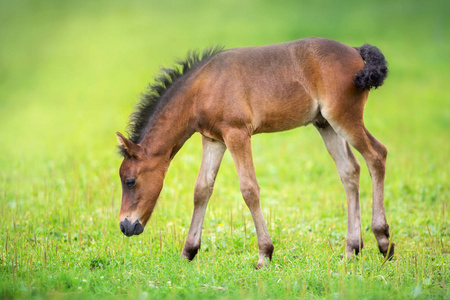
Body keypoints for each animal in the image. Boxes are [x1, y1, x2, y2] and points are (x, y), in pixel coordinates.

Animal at [116, 36, 394, 268]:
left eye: (130, 181)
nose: (125, 226)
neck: (202, 87)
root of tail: (356, 50)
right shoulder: (213, 139)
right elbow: (202, 189)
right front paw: (188, 251)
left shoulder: (237, 133)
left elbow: (249, 189)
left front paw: (264, 254)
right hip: (325, 124)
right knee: (350, 171)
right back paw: (351, 249)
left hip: (344, 117)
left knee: (376, 155)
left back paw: (384, 242)